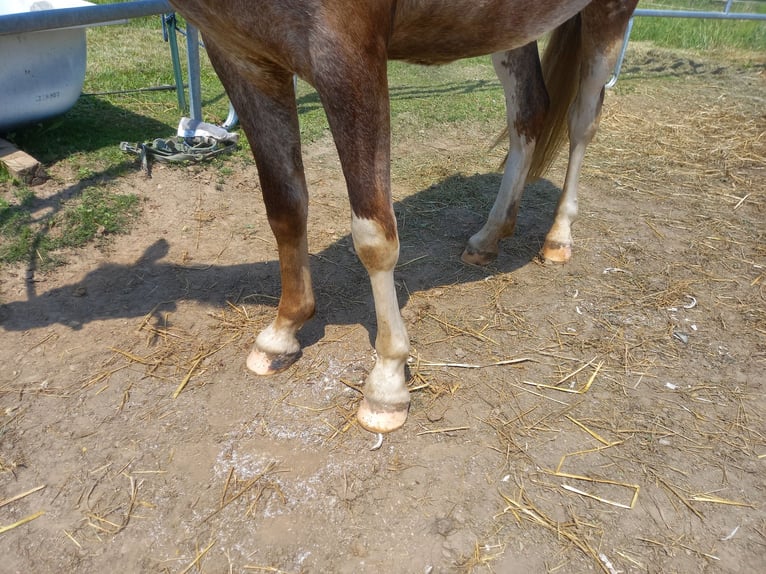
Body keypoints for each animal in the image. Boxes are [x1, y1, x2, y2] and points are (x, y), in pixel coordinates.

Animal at [170, 0, 640, 432]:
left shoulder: (349, 54)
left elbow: (374, 236)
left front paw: (387, 382)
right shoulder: (239, 55)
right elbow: (284, 207)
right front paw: (282, 332)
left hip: (609, 11)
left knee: (583, 118)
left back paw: (559, 236)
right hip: (511, 27)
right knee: (529, 110)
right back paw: (489, 235)